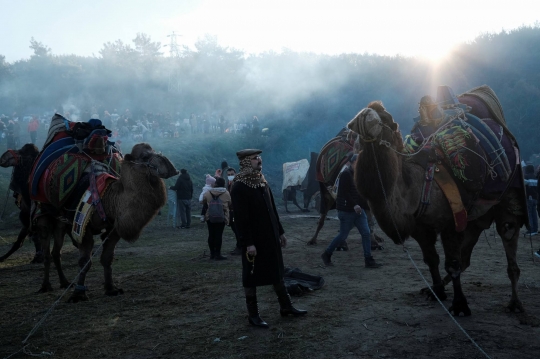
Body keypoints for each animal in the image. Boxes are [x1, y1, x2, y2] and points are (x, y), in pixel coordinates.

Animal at [346, 86, 528, 316]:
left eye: (388, 119)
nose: (361, 116)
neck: (417, 190)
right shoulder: (421, 228)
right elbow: (432, 260)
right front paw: (438, 293)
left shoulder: (451, 221)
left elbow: (452, 263)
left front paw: (459, 306)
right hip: (476, 218)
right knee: (467, 256)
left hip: (508, 197)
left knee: (508, 239)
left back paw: (515, 304)